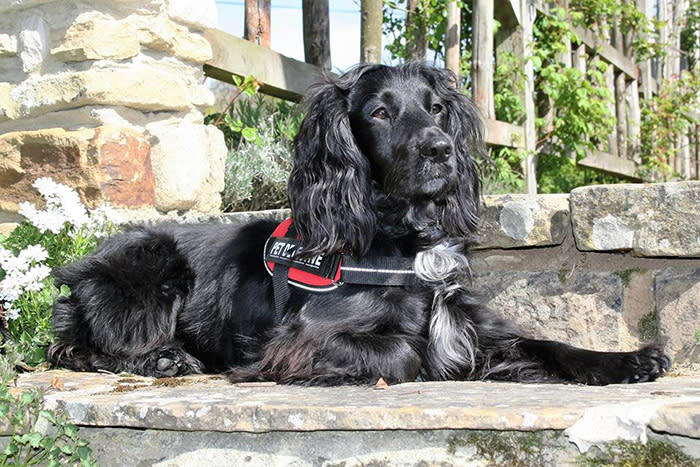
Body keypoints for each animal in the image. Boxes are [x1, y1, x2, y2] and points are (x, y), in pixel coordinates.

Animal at [46, 64, 668, 386]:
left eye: (436, 108)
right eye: (380, 112)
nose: (441, 151)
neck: (404, 244)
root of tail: (81, 263)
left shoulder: (470, 326)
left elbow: (548, 343)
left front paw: (631, 360)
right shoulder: (297, 343)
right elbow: (406, 353)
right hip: (152, 263)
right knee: (76, 348)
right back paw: (162, 357)